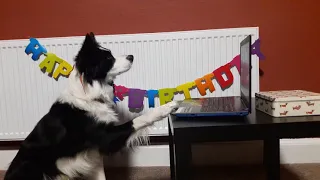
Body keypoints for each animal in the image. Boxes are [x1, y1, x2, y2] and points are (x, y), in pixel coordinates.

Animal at [5, 32, 179, 180]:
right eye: (108, 58)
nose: (131, 56)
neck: (90, 96)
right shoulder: (106, 137)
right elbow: (139, 119)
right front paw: (167, 107)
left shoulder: (94, 154)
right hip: (31, 166)